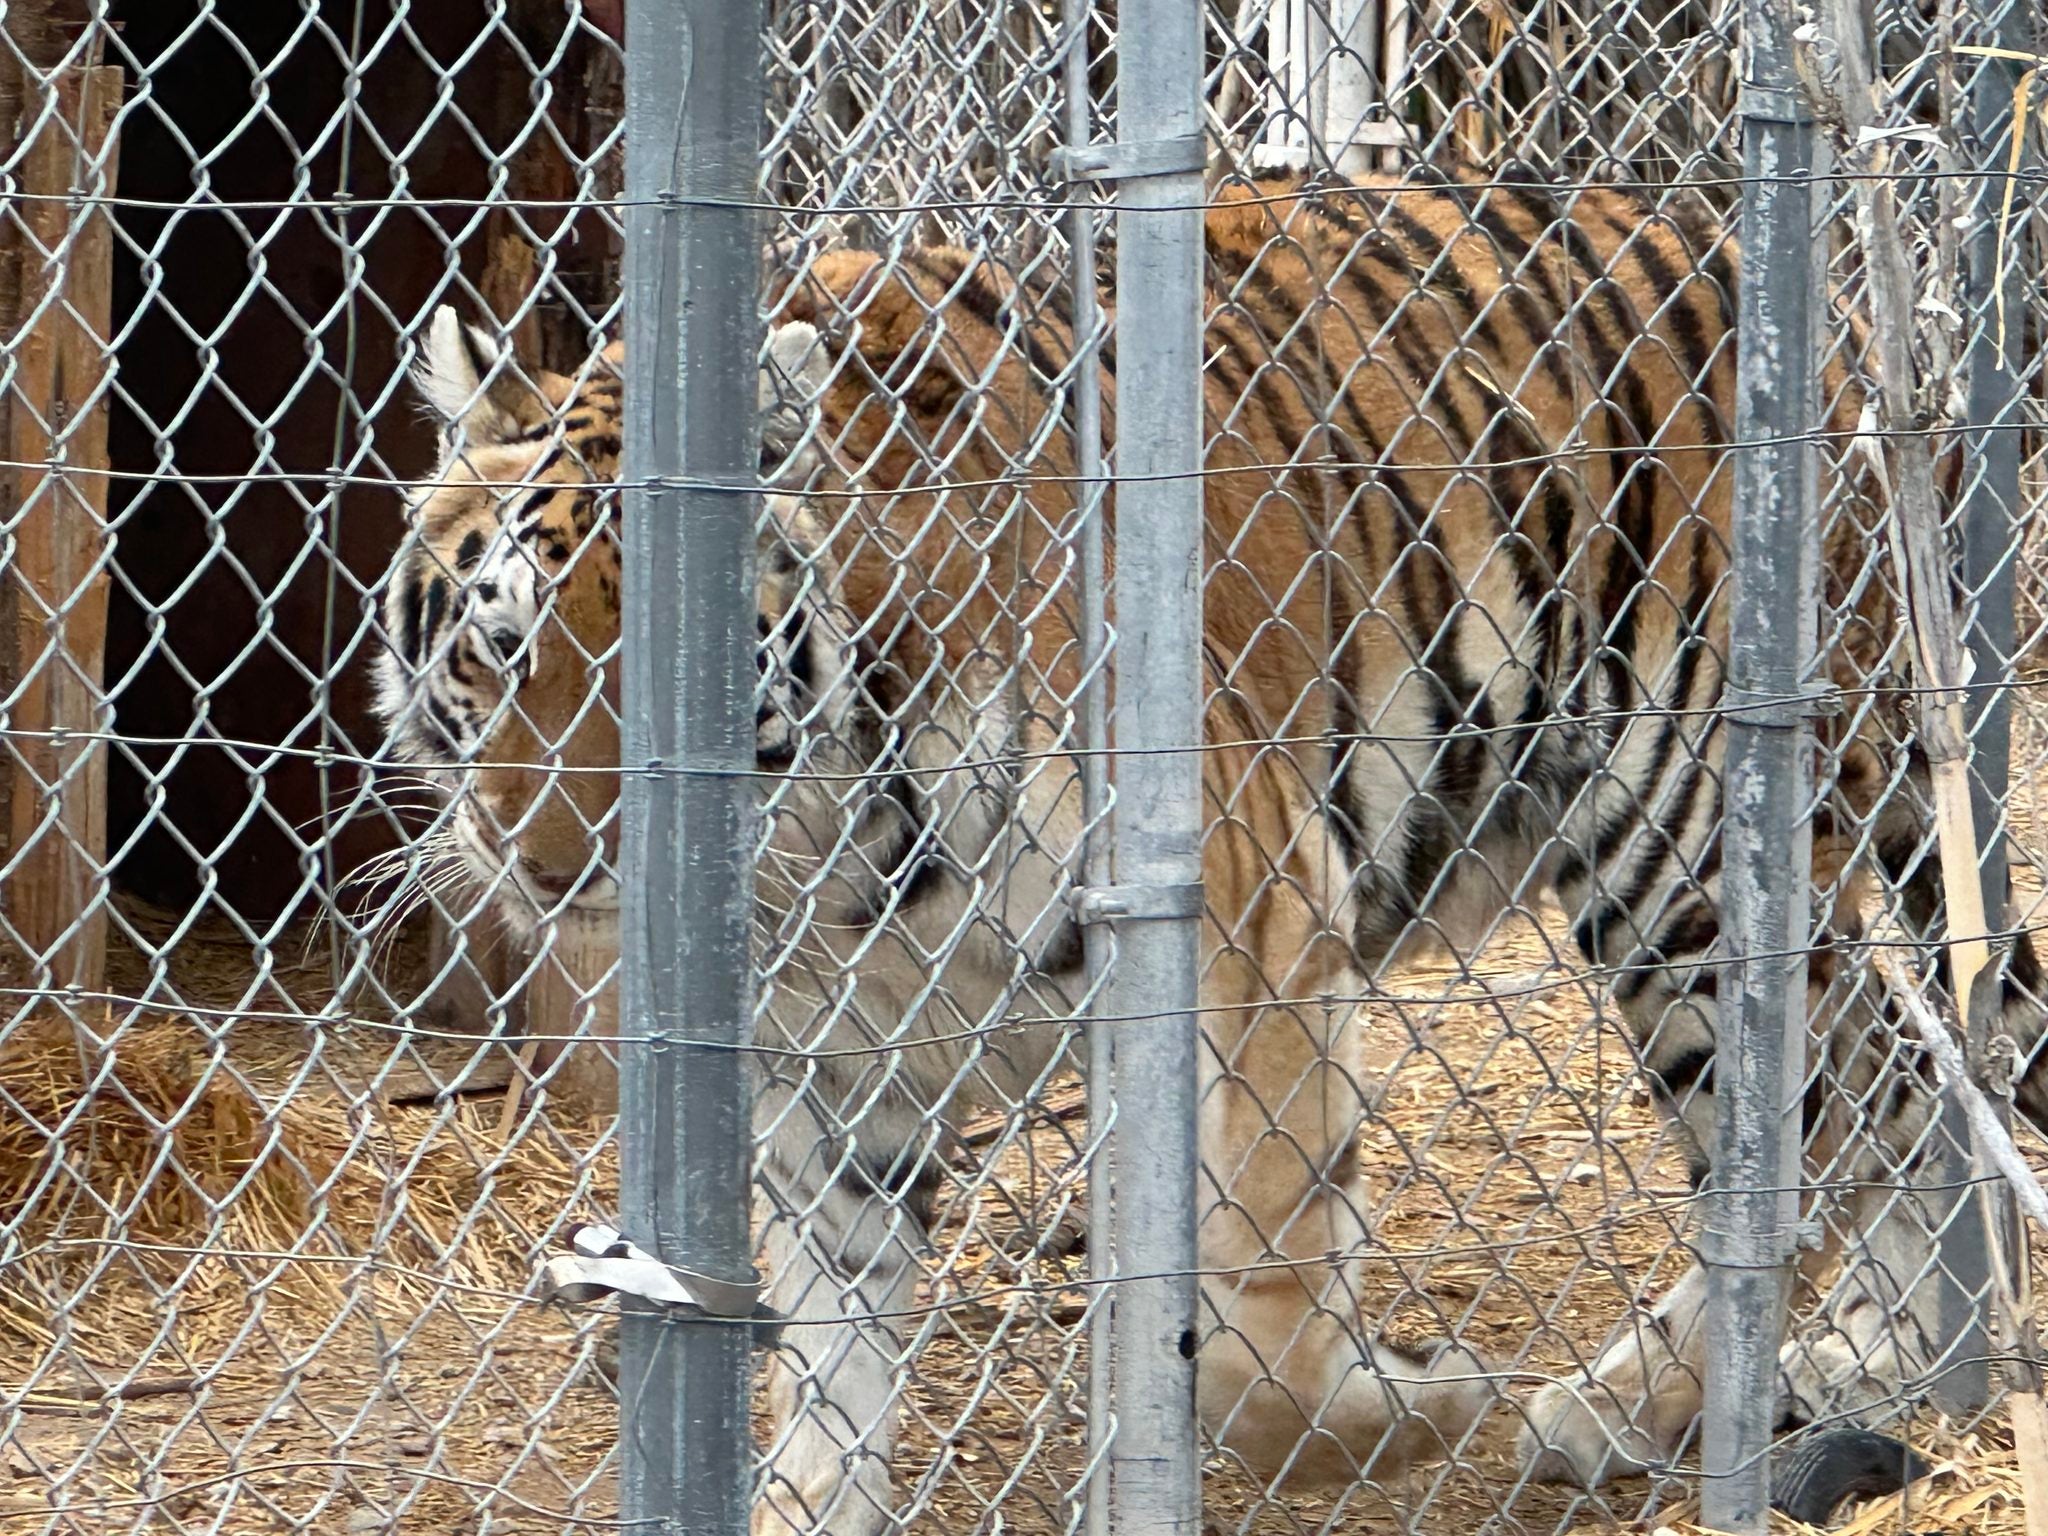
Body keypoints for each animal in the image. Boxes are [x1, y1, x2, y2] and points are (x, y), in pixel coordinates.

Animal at [374, 168, 2048, 1529]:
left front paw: (1421, 1406)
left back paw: (1636, 1401)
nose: (547, 866)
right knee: (1899, 1082)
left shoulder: (1250, 916)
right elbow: (832, 1368)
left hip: (1679, 845)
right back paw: (1849, 1367)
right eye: (500, 648)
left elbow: (1259, 1331)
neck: (831, 868)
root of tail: (1803, 293)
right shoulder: (836, 1066)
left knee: (1841, 1117)